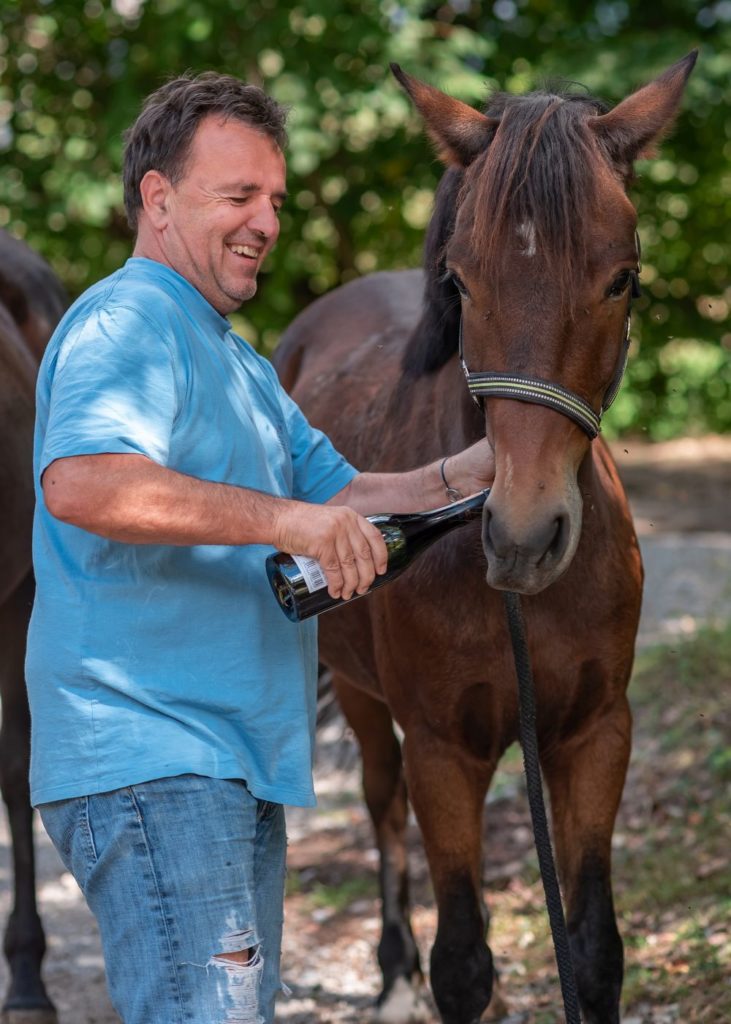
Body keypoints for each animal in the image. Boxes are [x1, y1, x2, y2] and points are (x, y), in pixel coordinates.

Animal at [274, 56, 696, 1024]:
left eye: (622, 278)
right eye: (460, 282)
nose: (523, 536)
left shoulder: (593, 734)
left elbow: (591, 949)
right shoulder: (443, 749)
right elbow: (461, 958)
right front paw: (434, 975)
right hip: (365, 705)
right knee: (383, 812)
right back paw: (393, 974)